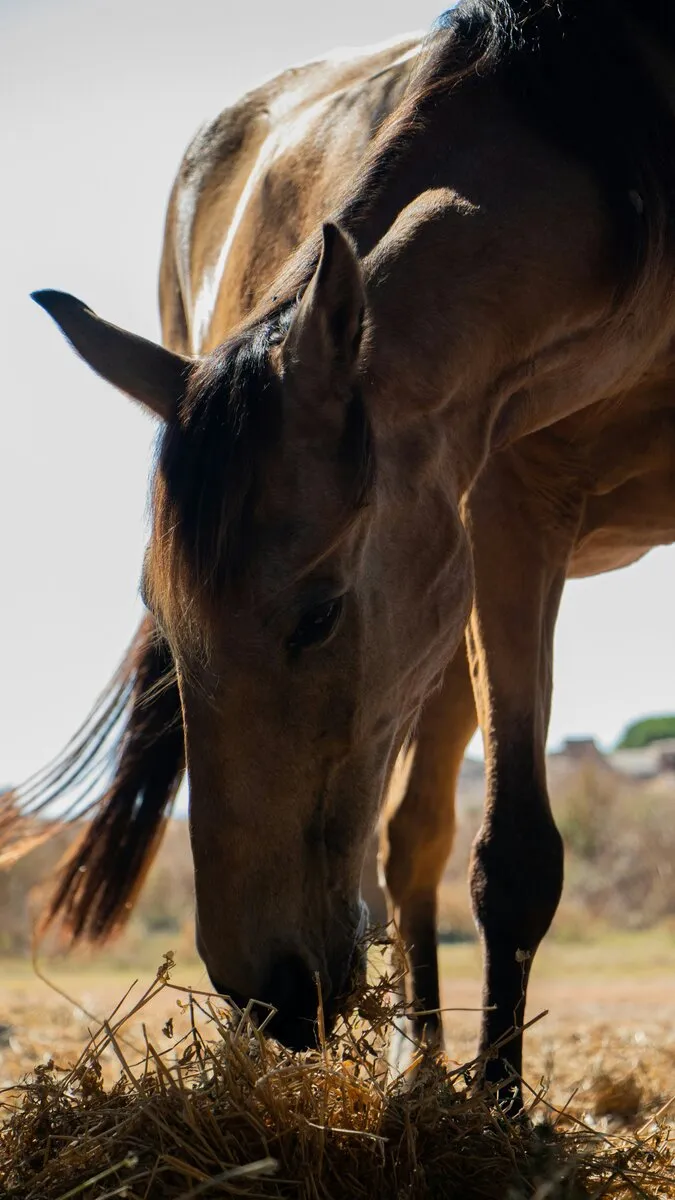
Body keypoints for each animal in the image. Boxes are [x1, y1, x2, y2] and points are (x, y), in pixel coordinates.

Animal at [5, 1, 675, 1106]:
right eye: (163, 618)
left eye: (316, 615)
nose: (266, 990)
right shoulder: (506, 513)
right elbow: (511, 856)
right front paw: (495, 1111)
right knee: (412, 845)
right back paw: (415, 1067)